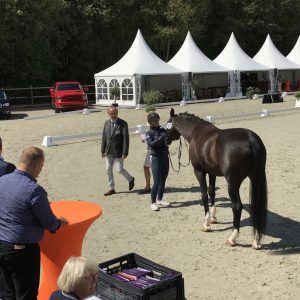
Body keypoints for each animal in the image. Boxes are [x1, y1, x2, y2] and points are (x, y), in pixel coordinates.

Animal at [168, 108, 268, 248]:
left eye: (167, 124)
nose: (164, 140)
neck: (196, 132)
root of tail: (250, 139)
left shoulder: (199, 172)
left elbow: (204, 195)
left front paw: (206, 224)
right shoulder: (212, 172)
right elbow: (212, 192)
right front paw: (213, 218)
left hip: (233, 183)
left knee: (237, 206)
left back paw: (232, 238)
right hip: (255, 178)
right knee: (257, 206)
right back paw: (256, 241)